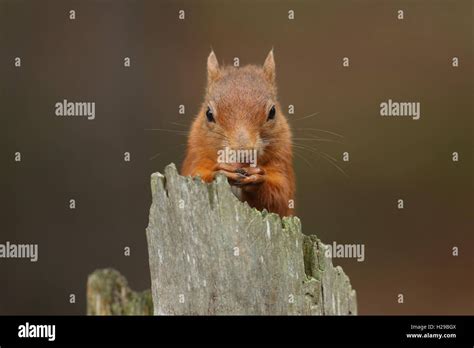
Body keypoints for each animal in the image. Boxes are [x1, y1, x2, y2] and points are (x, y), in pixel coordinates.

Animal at [181, 50, 294, 216]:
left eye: (272, 112)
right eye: (208, 114)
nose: (243, 153)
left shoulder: (282, 163)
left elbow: (281, 197)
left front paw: (258, 178)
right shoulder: (196, 156)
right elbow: (195, 173)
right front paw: (220, 170)